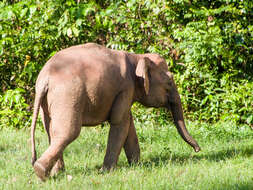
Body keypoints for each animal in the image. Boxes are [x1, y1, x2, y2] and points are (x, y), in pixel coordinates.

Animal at [30, 43, 201, 181]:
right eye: (169, 82)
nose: (198, 150)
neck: (137, 57)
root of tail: (45, 78)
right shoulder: (125, 87)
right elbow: (120, 122)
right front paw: (106, 171)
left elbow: (128, 124)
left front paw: (137, 165)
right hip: (68, 95)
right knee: (68, 132)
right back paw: (41, 171)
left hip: (49, 101)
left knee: (51, 131)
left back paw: (56, 173)